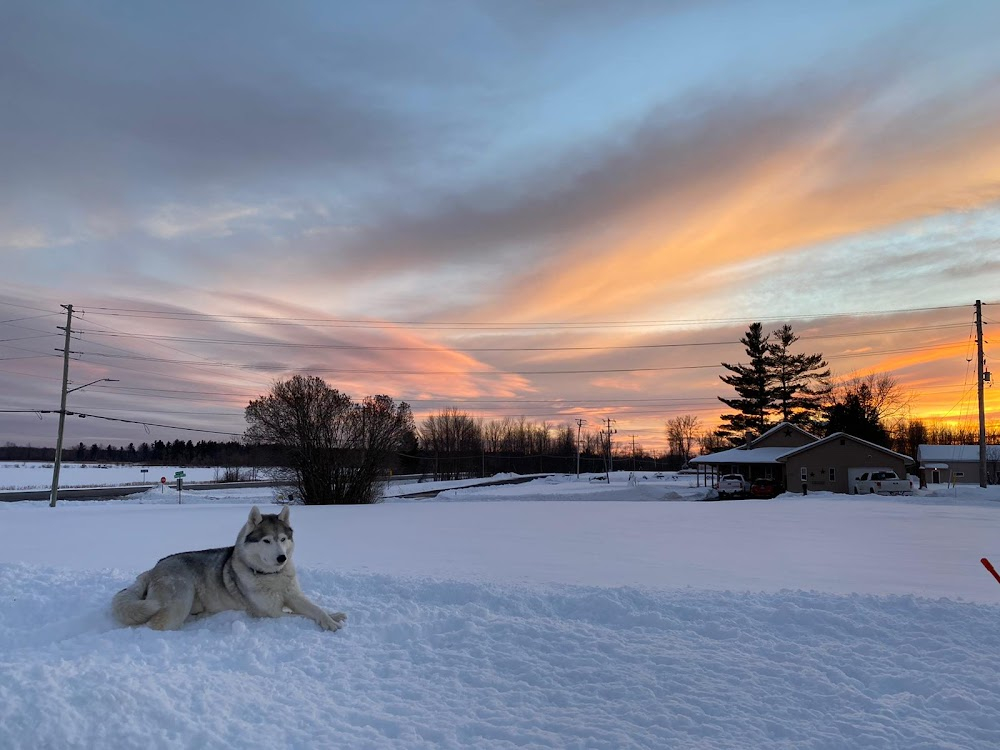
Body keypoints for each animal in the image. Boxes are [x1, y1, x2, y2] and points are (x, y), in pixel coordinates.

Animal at [112, 506, 348, 636]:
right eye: (266, 540)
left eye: (283, 539)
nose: (282, 557)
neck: (271, 577)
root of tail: (153, 568)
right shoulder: (270, 613)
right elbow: (301, 616)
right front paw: (330, 622)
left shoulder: (294, 595)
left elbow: (315, 609)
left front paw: (332, 616)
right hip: (180, 601)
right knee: (153, 624)